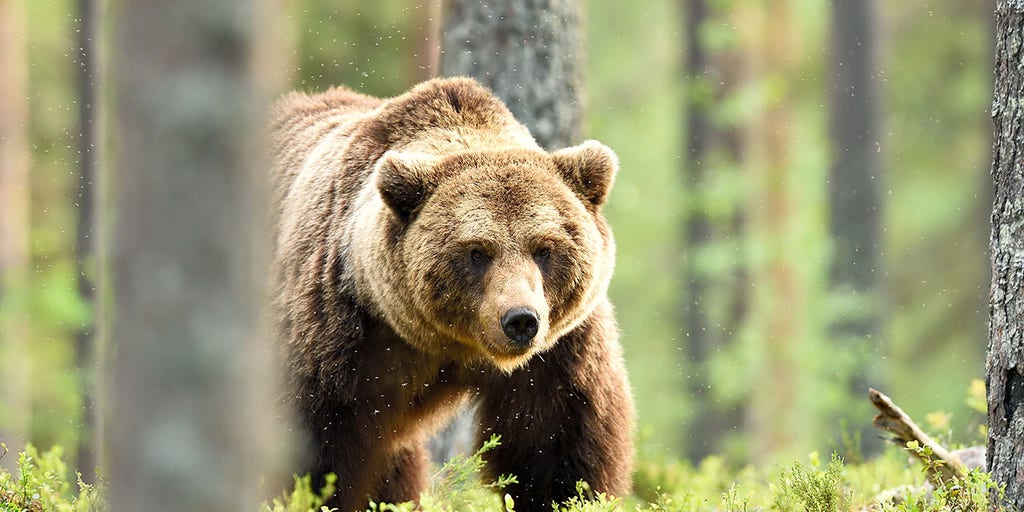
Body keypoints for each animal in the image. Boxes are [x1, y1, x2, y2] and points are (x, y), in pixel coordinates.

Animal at [269, 77, 634, 512]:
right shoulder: (337, 331)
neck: (451, 345)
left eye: (544, 249)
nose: (520, 320)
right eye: (477, 251)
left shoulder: (558, 351)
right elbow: (319, 453)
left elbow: (555, 445)